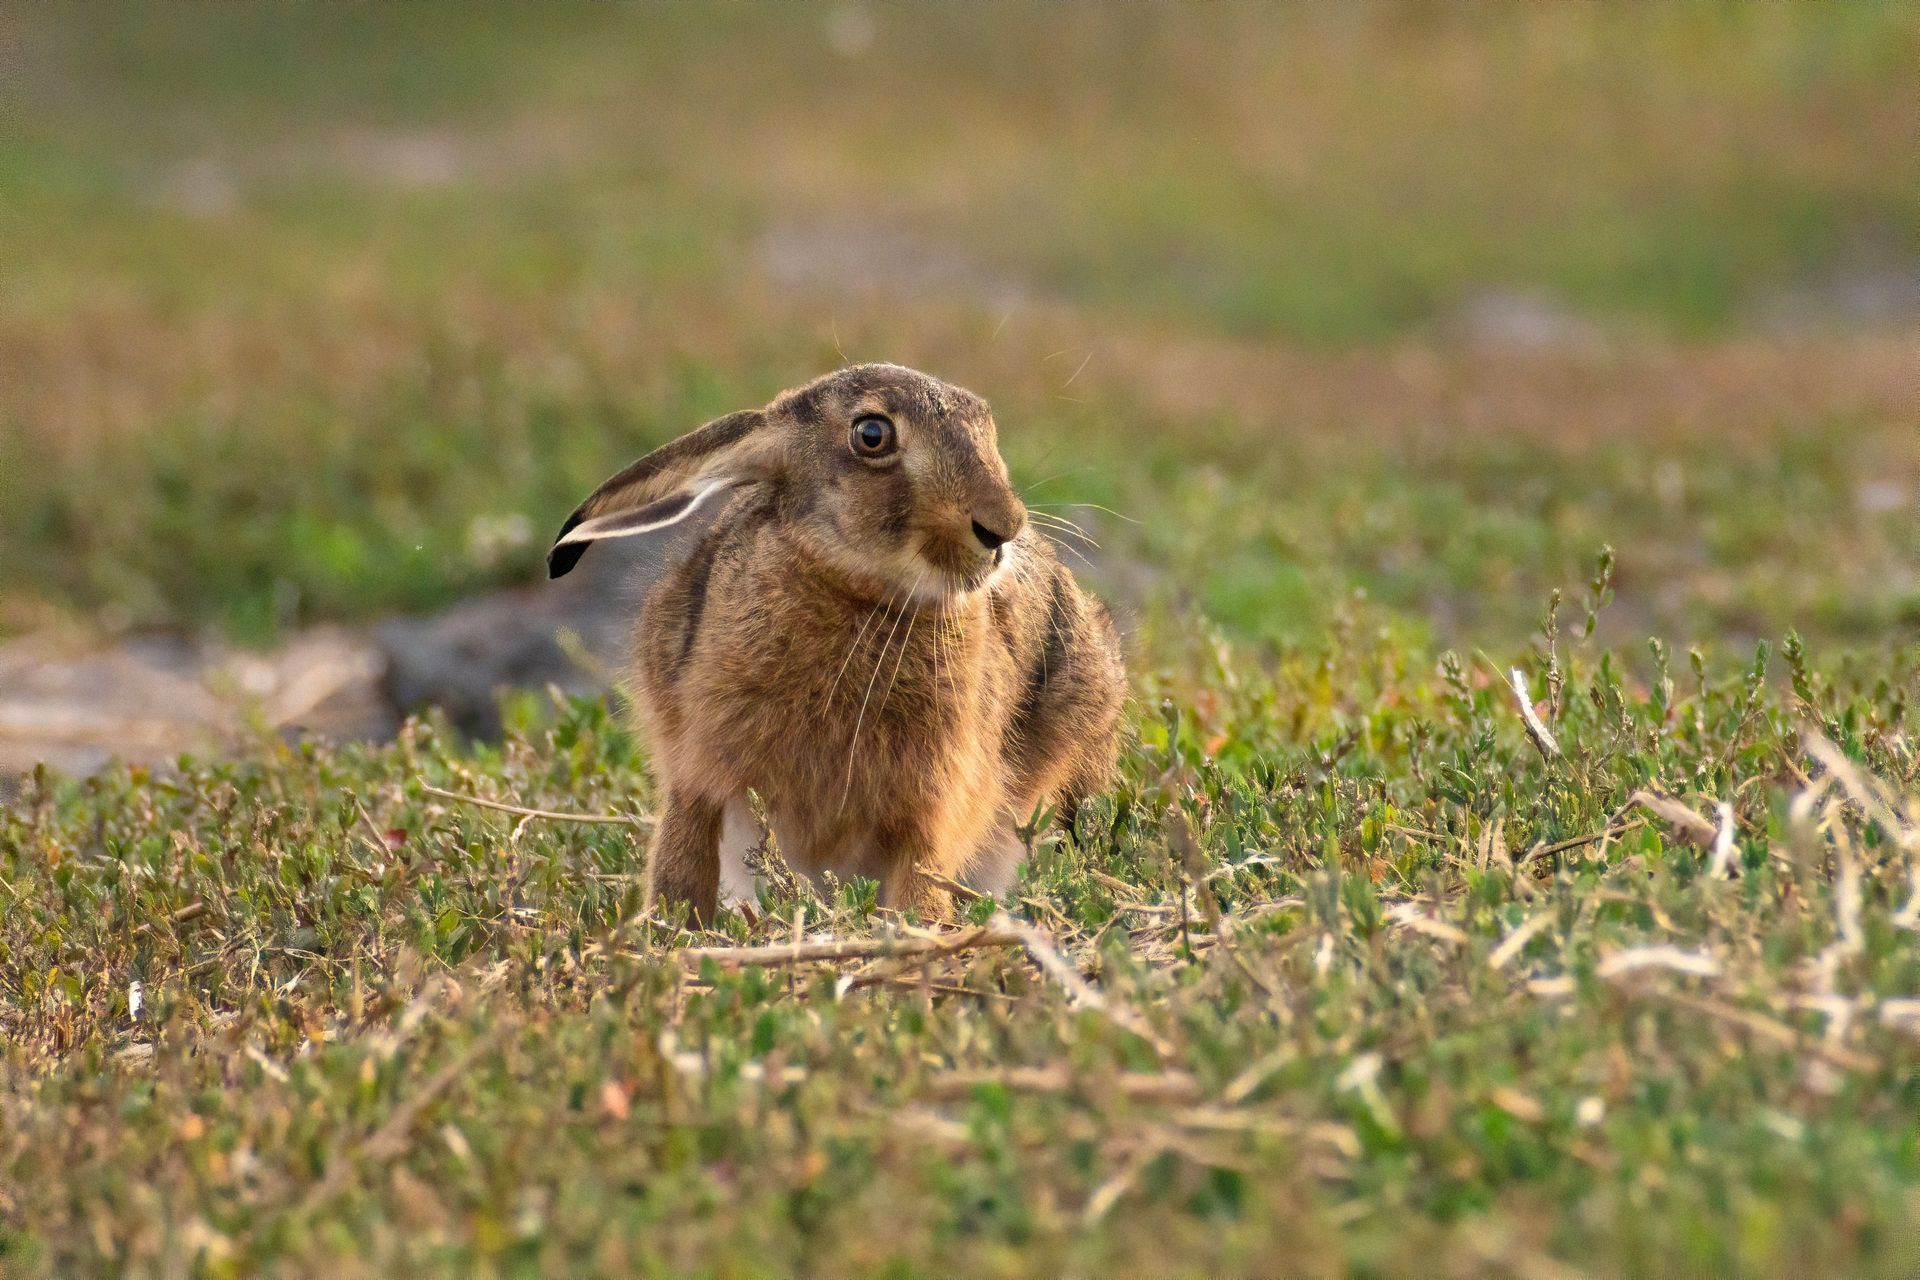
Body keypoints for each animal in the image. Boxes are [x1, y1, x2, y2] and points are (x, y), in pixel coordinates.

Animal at [548, 363, 1125, 924]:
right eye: (872, 435)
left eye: (987, 425)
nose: (1003, 528)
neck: (857, 591)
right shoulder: (698, 766)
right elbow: (683, 852)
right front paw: (669, 927)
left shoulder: (935, 796)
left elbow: (922, 871)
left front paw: (926, 927)